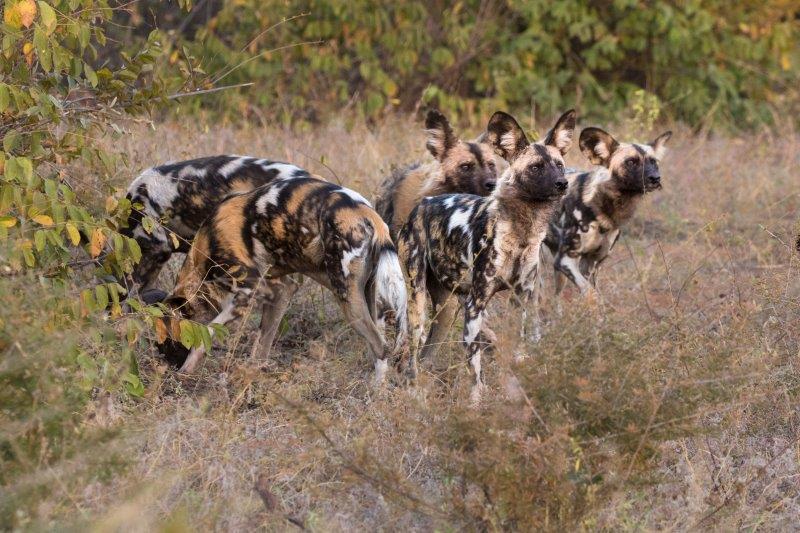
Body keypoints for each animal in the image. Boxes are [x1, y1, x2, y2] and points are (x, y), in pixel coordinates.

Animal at [155, 171, 412, 382]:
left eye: (169, 340)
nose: (165, 363)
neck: (207, 245)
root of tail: (367, 214)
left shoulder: (249, 293)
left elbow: (207, 333)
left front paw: (187, 370)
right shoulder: (280, 292)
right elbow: (262, 344)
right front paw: (250, 376)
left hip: (348, 300)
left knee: (382, 347)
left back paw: (375, 394)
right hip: (366, 294)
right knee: (380, 346)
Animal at [398, 109, 576, 404]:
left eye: (559, 164)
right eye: (536, 167)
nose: (562, 183)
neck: (522, 233)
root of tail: (423, 203)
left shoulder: (521, 298)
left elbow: (517, 348)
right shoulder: (475, 305)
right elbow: (476, 369)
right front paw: (476, 403)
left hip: (448, 306)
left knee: (427, 352)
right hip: (419, 303)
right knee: (412, 349)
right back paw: (413, 391)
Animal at [540, 127, 672, 298]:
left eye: (654, 161)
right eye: (631, 162)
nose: (655, 178)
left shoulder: (591, 264)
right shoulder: (566, 261)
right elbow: (592, 295)